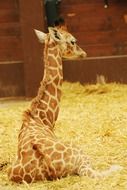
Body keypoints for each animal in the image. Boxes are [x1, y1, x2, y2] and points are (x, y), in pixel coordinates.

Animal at [7, 22, 121, 184]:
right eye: (73, 41)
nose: (84, 53)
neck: (41, 118)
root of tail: (45, 165)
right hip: (81, 155)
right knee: (97, 173)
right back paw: (118, 167)